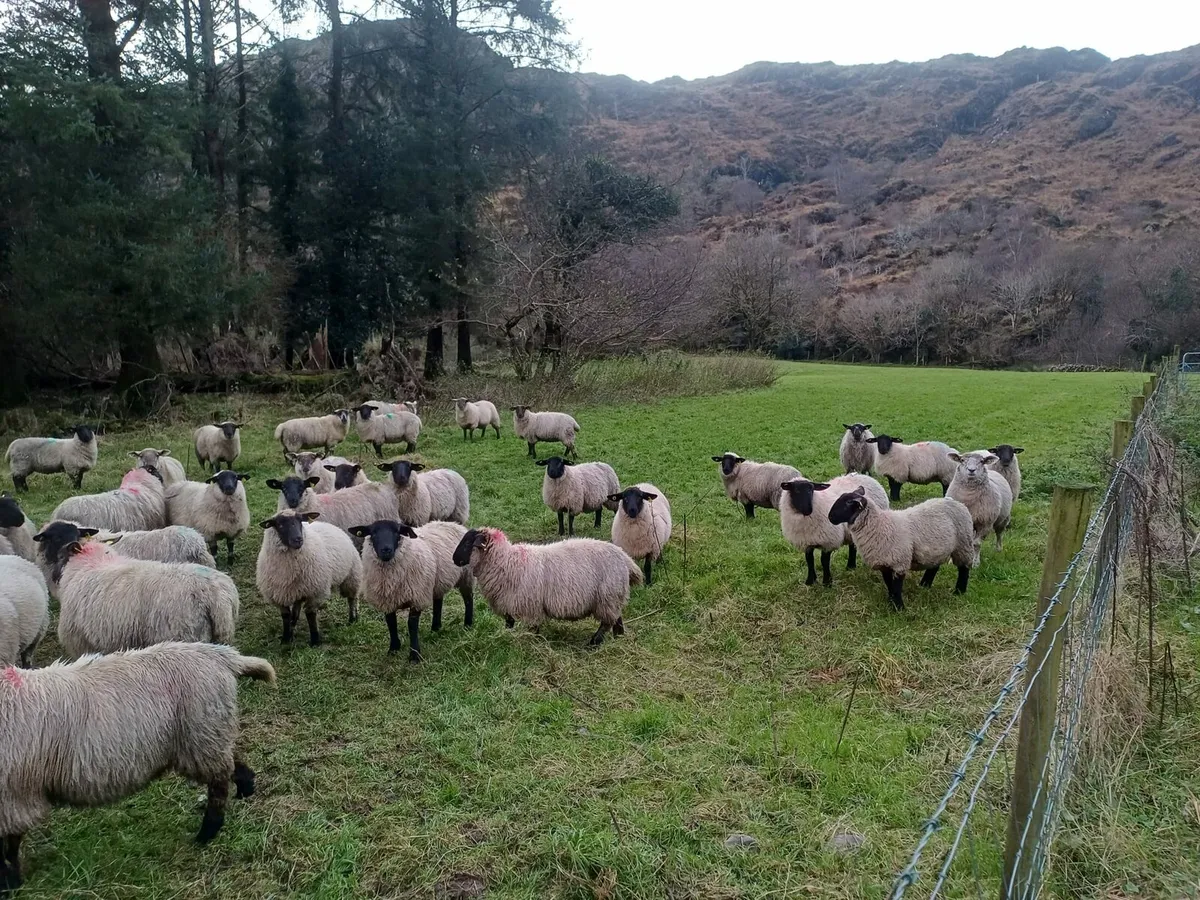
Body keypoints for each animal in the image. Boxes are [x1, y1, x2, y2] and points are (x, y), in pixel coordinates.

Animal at [0, 641, 273, 893]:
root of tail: (222, 656)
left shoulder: (13, 797)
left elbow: (7, 848)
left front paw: (10, 884)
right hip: (208, 736)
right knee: (228, 764)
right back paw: (246, 787)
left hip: (202, 734)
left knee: (218, 783)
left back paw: (207, 833)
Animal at [256, 511, 363, 646]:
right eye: (279, 524)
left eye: (300, 521)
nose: (298, 539)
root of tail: (328, 524)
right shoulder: (279, 595)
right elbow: (286, 616)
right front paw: (286, 638)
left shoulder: (316, 592)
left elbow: (310, 615)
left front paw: (315, 640)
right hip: (298, 590)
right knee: (296, 610)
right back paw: (293, 625)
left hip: (352, 575)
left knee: (352, 599)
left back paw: (353, 619)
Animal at [349, 520, 474, 661]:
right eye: (373, 532)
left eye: (397, 532)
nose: (386, 550)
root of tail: (452, 523)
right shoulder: (387, 600)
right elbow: (391, 622)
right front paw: (393, 648)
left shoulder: (417, 596)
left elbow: (412, 625)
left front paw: (414, 655)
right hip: (437, 580)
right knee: (438, 601)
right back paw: (435, 627)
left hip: (466, 576)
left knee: (468, 598)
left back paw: (468, 624)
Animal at [452, 527, 641, 647]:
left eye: (468, 543)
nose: (454, 559)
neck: (506, 561)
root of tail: (625, 559)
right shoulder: (509, 602)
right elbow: (509, 623)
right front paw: (508, 637)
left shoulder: (530, 607)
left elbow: (533, 628)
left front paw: (531, 641)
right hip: (614, 596)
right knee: (617, 617)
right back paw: (618, 636)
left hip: (606, 596)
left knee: (606, 622)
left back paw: (594, 642)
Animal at [828, 487, 975, 610]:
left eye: (848, 503)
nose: (830, 517)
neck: (879, 524)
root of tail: (958, 503)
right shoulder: (885, 563)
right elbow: (889, 584)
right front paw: (890, 601)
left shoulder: (899, 562)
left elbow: (897, 586)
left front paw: (899, 608)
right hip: (937, 548)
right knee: (934, 566)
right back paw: (925, 584)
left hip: (963, 544)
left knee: (964, 569)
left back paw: (959, 591)